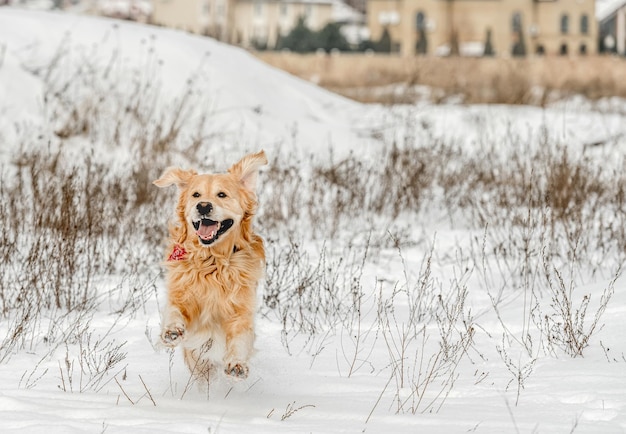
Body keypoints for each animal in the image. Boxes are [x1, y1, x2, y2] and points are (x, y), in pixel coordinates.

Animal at [155, 151, 266, 382]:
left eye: (222, 195)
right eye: (196, 195)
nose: (204, 206)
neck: (212, 263)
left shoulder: (241, 311)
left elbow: (241, 337)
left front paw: (237, 364)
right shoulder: (181, 294)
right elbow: (174, 311)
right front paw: (172, 331)